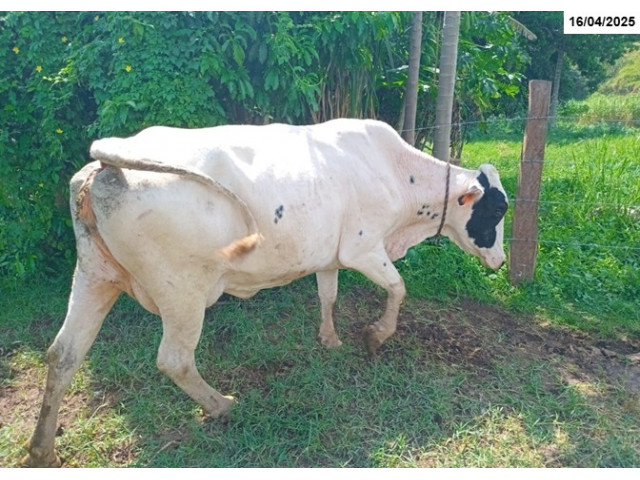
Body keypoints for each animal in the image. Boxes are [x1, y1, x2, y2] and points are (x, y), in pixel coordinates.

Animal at [23, 119, 508, 467]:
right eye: (496, 210)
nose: (501, 262)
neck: (395, 172)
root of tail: (109, 163)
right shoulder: (362, 247)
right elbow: (398, 287)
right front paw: (376, 336)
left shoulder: (329, 255)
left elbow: (328, 295)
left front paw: (329, 339)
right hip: (183, 293)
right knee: (174, 360)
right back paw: (221, 405)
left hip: (94, 277)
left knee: (63, 353)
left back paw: (42, 449)